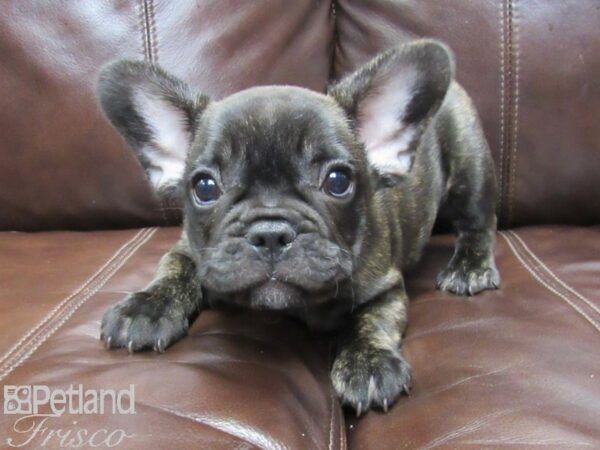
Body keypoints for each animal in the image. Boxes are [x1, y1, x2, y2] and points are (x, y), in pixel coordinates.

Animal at [99, 39, 502, 414]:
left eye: (338, 181)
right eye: (205, 187)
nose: (271, 233)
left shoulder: (384, 286)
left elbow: (372, 319)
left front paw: (369, 363)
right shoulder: (190, 250)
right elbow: (173, 269)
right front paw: (147, 308)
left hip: (470, 166)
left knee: (480, 222)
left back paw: (469, 267)